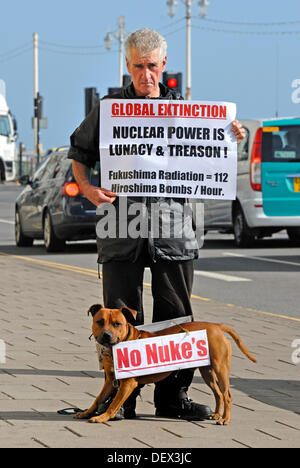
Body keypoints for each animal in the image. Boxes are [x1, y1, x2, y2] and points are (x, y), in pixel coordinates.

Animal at [74, 306, 255, 426]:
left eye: (117, 324)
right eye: (100, 321)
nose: (106, 335)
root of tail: (216, 326)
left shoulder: (128, 384)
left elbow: (113, 404)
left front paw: (103, 417)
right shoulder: (110, 381)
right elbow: (98, 399)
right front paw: (86, 412)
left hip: (220, 369)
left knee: (227, 395)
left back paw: (225, 419)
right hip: (207, 372)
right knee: (218, 394)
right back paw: (216, 414)